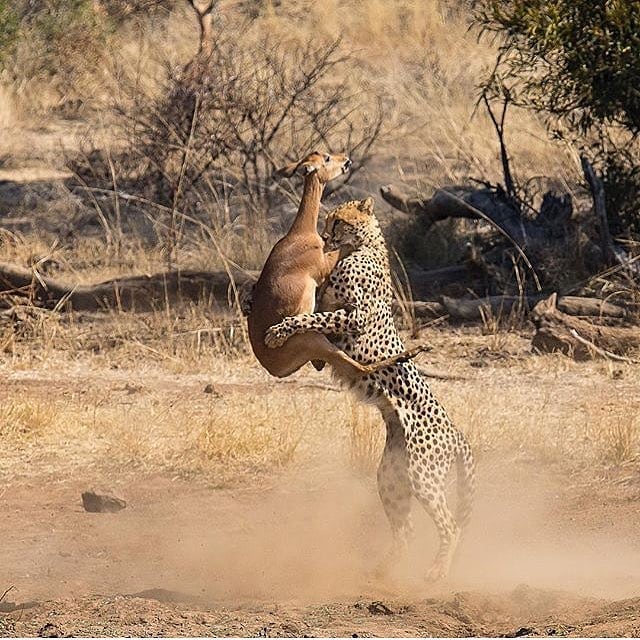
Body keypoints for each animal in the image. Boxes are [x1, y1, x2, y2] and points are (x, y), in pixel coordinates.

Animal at [264, 196, 476, 580]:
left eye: (338, 221)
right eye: (328, 220)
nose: (324, 236)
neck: (362, 246)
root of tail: (456, 432)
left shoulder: (355, 315)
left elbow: (312, 317)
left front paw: (278, 330)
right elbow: (317, 314)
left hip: (423, 474)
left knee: (450, 525)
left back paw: (437, 571)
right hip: (391, 476)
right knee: (406, 530)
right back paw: (383, 571)